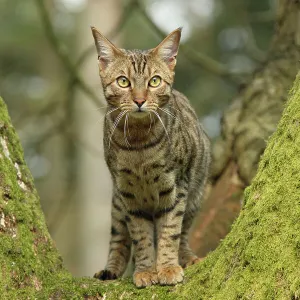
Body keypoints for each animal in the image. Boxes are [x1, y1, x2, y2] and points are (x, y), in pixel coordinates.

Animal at [90, 27, 210, 288]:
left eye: (154, 81)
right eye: (123, 81)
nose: (139, 100)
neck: (139, 144)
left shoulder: (177, 187)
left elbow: (170, 231)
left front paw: (167, 267)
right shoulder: (128, 195)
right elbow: (140, 236)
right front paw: (146, 270)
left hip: (195, 196)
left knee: (183, 233)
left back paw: (187, 258)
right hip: (117, 204)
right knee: (118, 239)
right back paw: (110, 270)